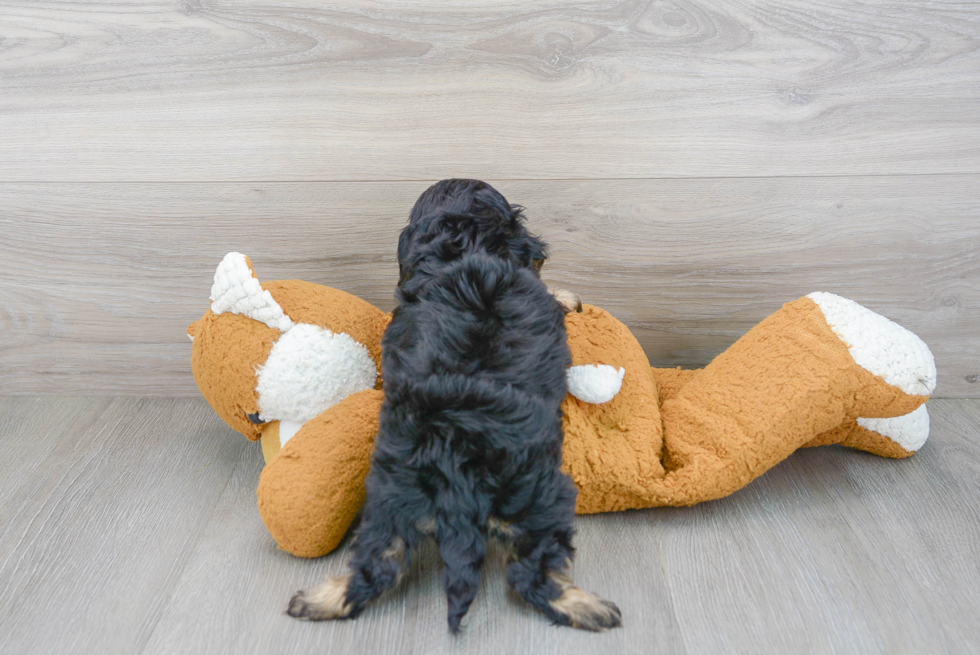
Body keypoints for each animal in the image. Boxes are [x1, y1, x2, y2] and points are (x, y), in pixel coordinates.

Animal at [288, 182, 620, 632]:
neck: (464, 249)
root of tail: (455, 468)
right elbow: (551, 292)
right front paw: (568, 296)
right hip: (537, 498)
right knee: (531, 574)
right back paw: (590, 607)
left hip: (391, 497)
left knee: (378, 564)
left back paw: (315, 601)